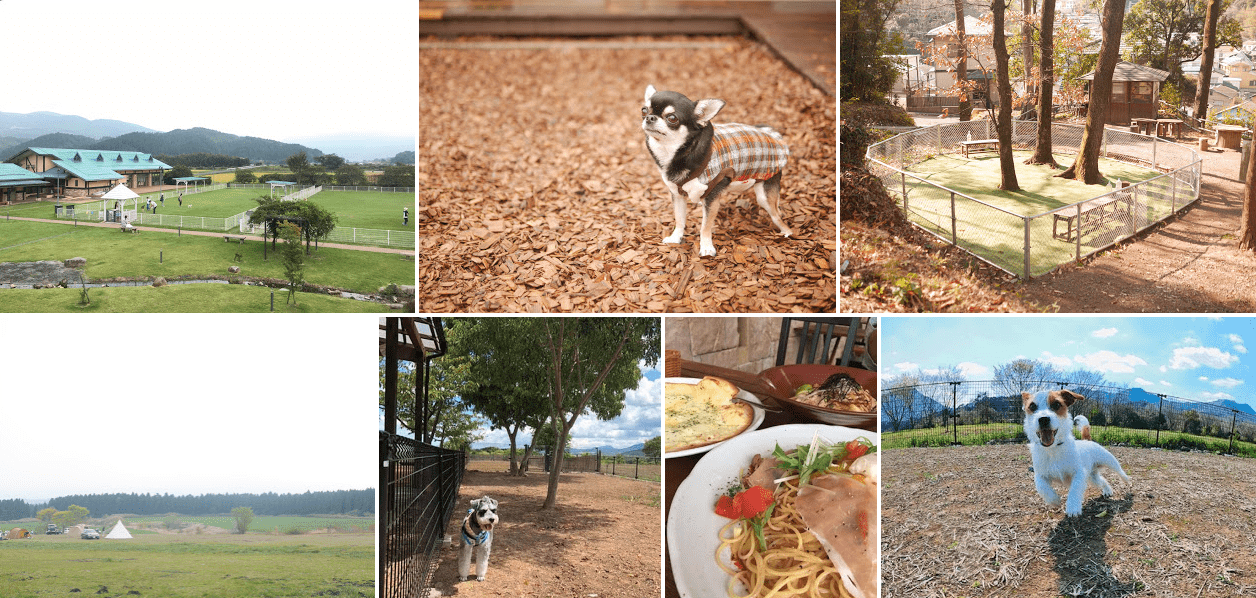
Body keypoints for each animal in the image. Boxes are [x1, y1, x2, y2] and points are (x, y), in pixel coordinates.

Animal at [643, 85, 788, 256]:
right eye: (644, 110)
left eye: (672, 118)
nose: (649, 117)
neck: (676, 153)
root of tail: (775, 138)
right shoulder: (678, 195)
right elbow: (679, 220)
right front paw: (675, 238)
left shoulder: (711, 197)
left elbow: (705, 226)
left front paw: (706, 247)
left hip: (764, 194)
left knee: (777, 216)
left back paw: (787, 233)